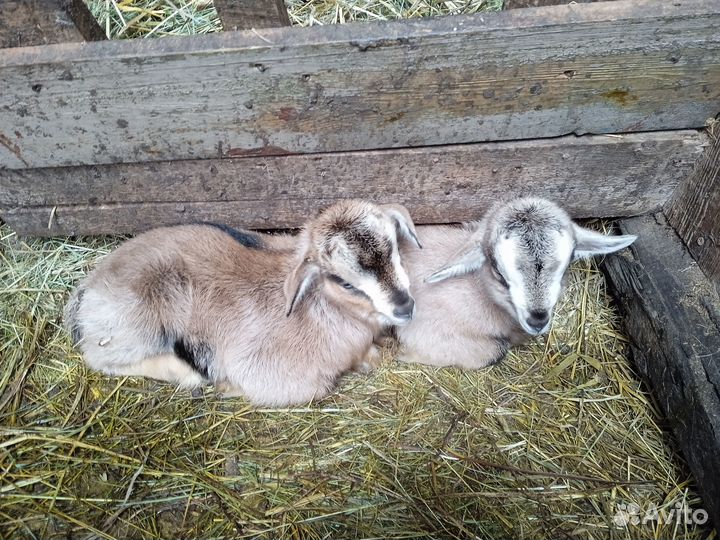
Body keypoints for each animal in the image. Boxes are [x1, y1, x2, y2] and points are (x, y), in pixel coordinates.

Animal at [65, 200, 421, 406]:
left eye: (394, 249)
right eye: (343, 281)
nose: (404, 307)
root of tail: (86, 291)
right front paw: (228, 387)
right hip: (141, 325)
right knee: (100, 358)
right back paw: (191, 375)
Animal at [395, 197, 636, 368]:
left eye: (565, 268)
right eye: (499, 274)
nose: (537, 320)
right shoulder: (423, 332)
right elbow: (496, 350)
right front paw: (404, 355)